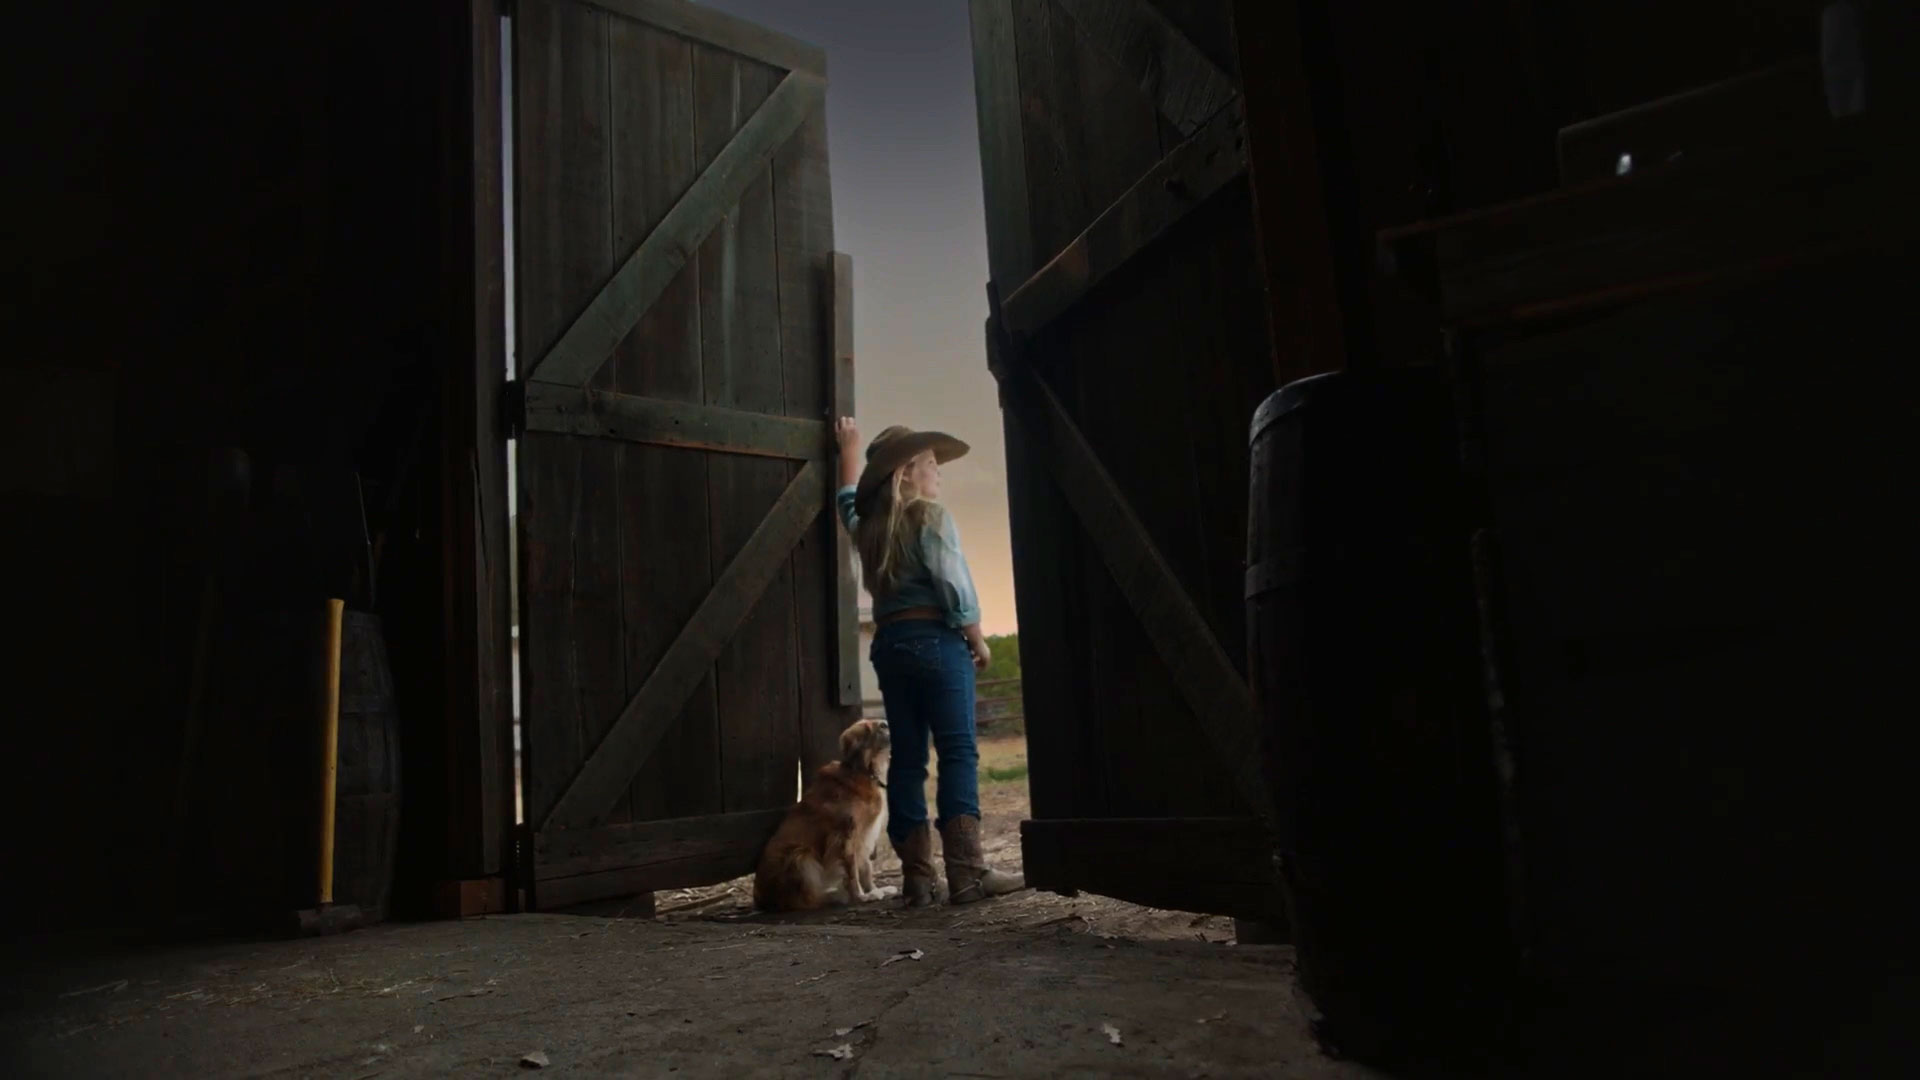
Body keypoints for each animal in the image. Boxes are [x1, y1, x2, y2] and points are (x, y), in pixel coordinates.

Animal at [753, 719, 899, 912]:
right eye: (883, 726)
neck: (864, 771)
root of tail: (759, 899)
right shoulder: (845, 837)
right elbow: (852, 872)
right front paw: (860, 896)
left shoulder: (865, 836)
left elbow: (866, 868)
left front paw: (875, 889)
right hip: (800, 856)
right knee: (807, 900)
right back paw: (836, 896)